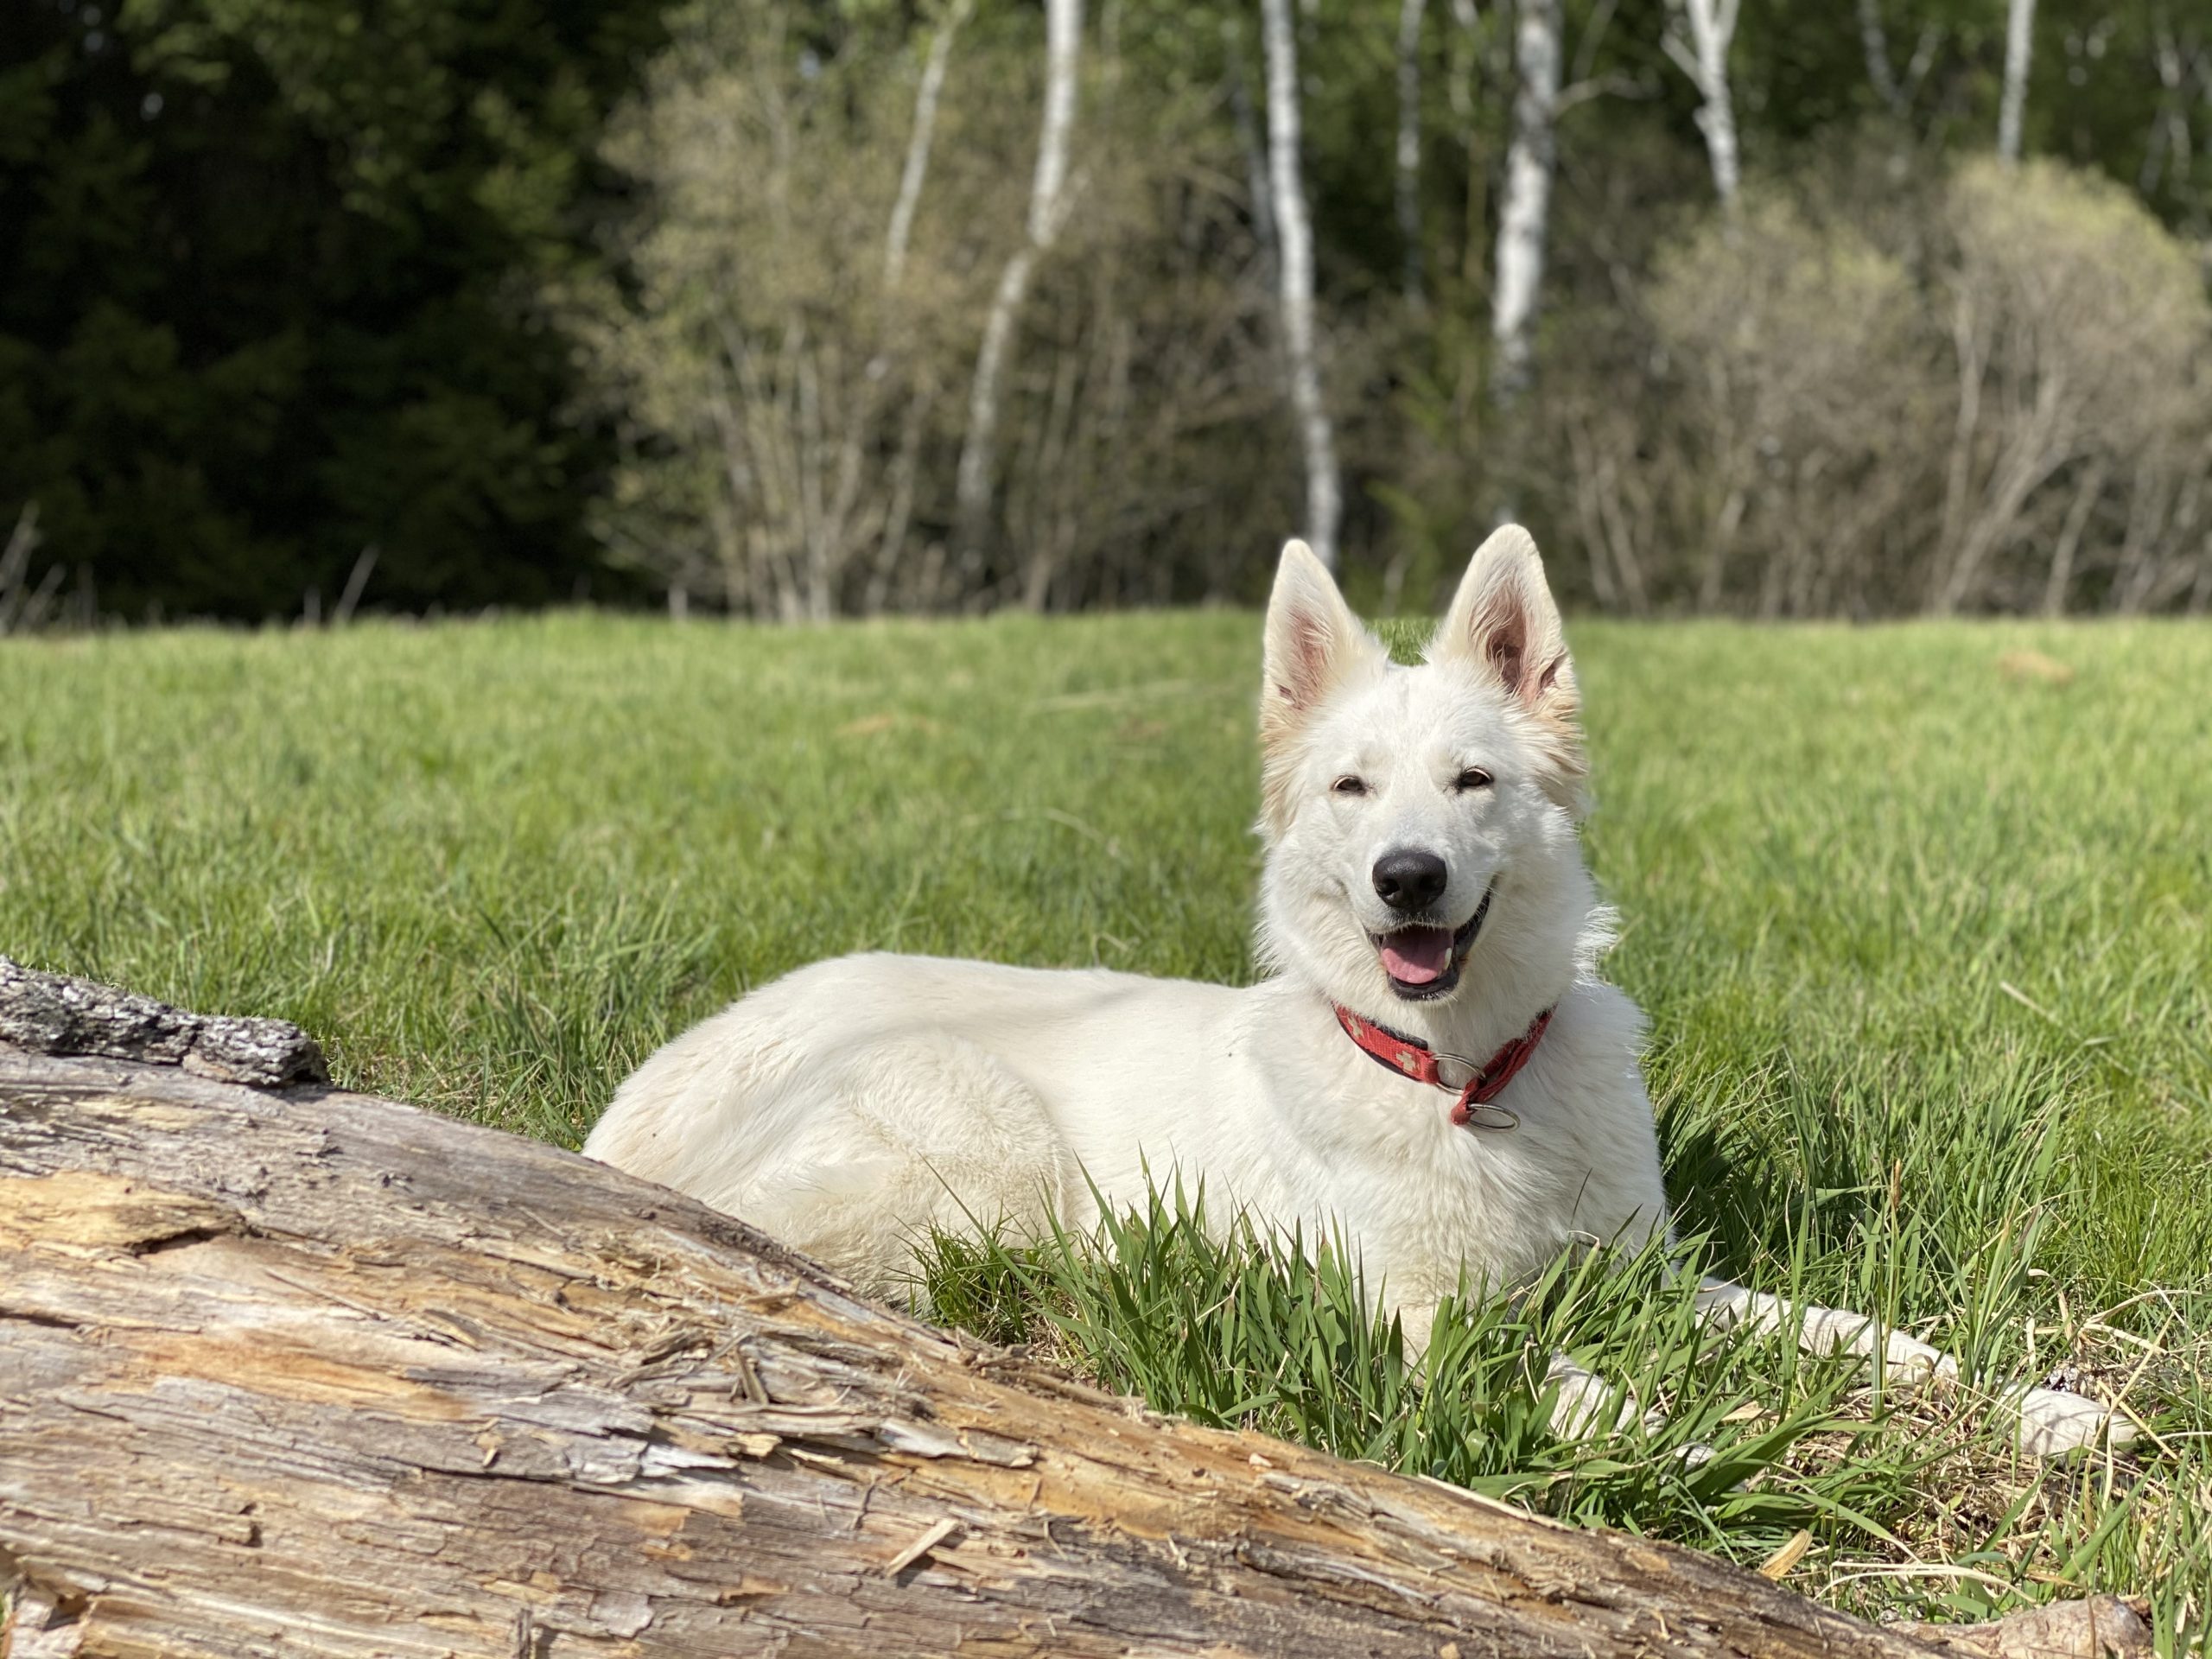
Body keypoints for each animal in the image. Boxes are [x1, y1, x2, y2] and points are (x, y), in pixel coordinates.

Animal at [583, 528, 2123, 1451]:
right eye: (1351, 789)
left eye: (1473, 782)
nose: (1407, 878)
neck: (1465, 1083)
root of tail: (633, 1107)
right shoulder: (1418, 1317)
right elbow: (1584, 1394)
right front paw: (1712, 1442)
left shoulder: (1647, 1270)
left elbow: (1863, 1336)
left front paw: (2039, 1409)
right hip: (985, 1145)